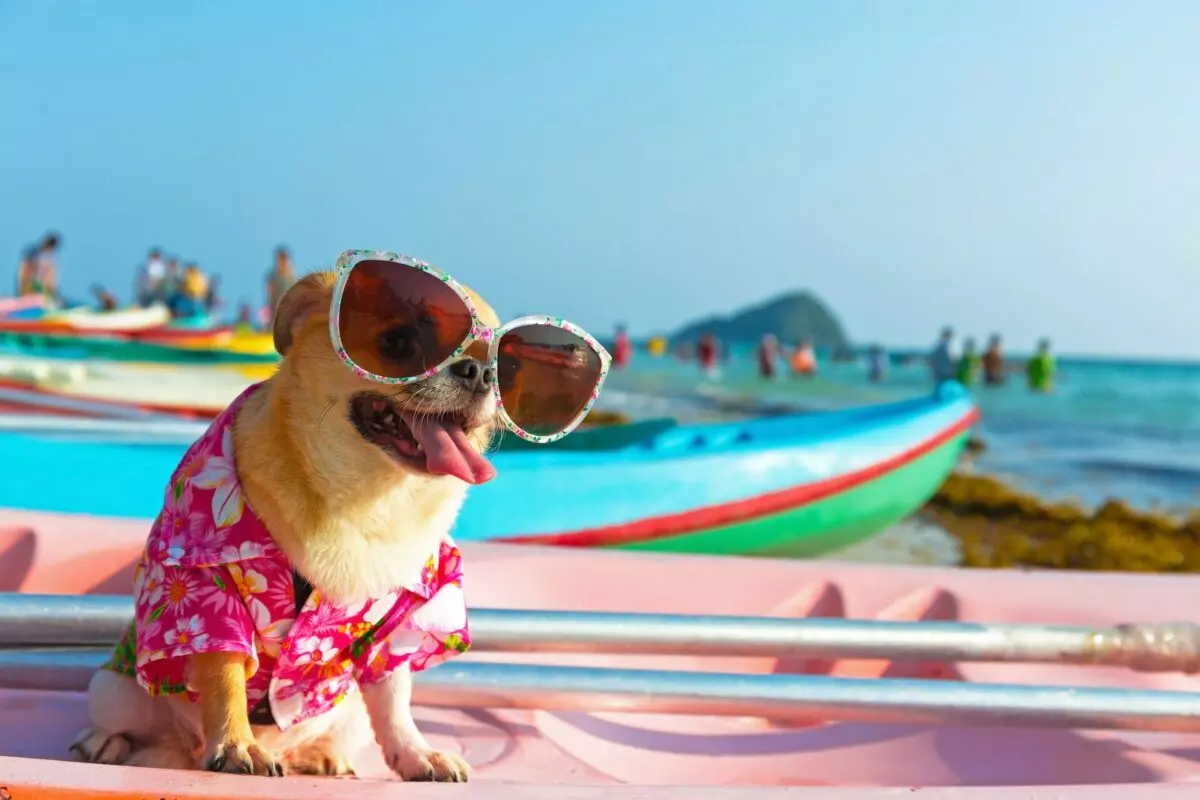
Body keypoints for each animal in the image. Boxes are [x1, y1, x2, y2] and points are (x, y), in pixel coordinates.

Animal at [70, 271, 501, 782]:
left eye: (502, 367)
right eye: (397, 342)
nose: (480, 372)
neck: (366, 501)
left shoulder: (401, 624)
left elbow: (394, 699)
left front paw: (416, 754)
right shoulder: (207, 594)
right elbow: (225, 676)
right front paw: (235, 744)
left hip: (348, 712)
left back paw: (317, 756)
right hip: (115, 691)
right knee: (129, 724)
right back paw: (106, 741)